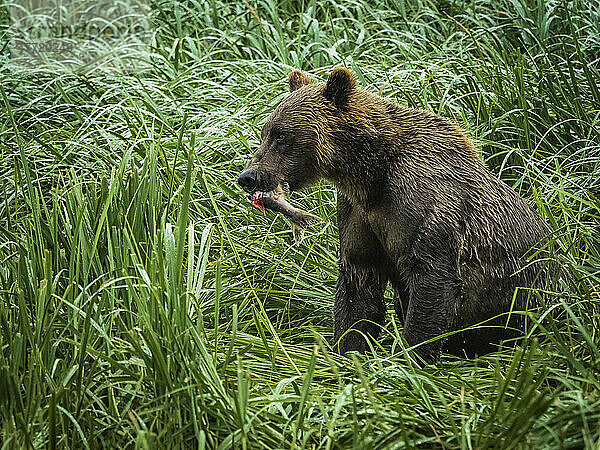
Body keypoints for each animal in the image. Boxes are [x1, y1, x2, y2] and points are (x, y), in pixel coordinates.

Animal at [238, 67, 552, 362]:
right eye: (265, 132)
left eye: (282, 135)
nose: (248, 176)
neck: (370, 174)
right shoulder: (358, 215)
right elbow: (358, 290)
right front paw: (348, 354)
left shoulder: (425, 207)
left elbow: (431, 285)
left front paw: (413, 359)